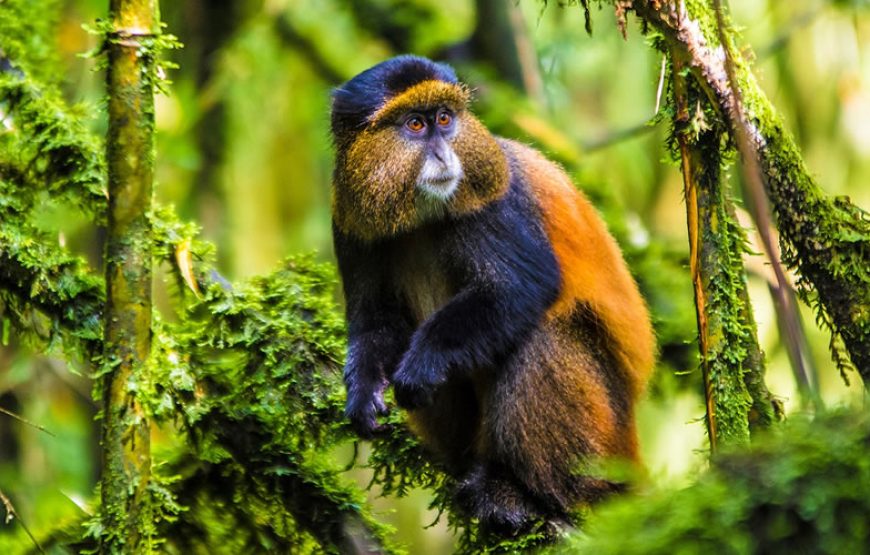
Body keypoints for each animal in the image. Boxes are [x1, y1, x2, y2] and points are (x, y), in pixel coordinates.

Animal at [330, 55, 655, 533]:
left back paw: (521, 493)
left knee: (542, 336)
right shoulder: (351, 223)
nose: (444, 153)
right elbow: (376, 320)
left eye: (445, 119)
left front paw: (423, 362)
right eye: (415, 124)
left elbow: (520, 288)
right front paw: (363, 391)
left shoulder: (493, 202)